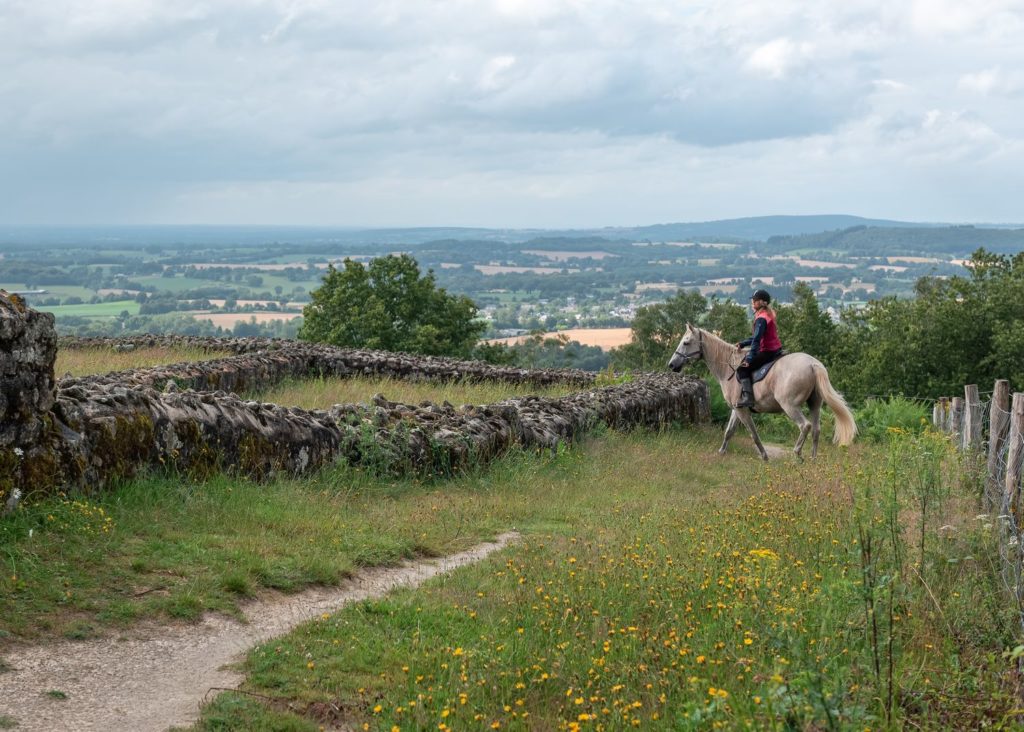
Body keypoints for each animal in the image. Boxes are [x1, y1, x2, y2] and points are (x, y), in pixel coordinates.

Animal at [667, 325, 860, 460]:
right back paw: (813, 459)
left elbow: (753, 433)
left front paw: (764, 456)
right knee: (816, 430)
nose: (672, 364)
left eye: (686, 342)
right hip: (815, 404)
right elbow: (729, 431)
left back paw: (797, 454)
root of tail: (813, 364)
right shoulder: (737, 408)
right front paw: (721, 452)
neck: (729, 366)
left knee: (805, 426)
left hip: (790, 406)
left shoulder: (742, 410)